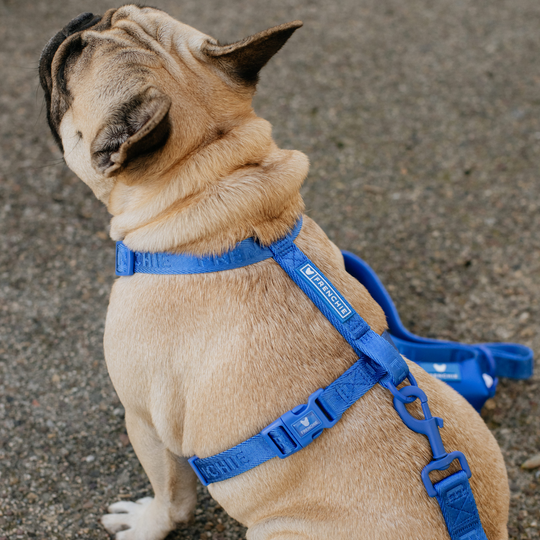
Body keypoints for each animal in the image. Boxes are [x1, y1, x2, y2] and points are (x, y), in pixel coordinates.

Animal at [40, 5, 508, 540]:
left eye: (71, 59)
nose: (82, 19)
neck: (225, 200)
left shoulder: (144, 421)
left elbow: (171, 496)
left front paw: (146, 523)